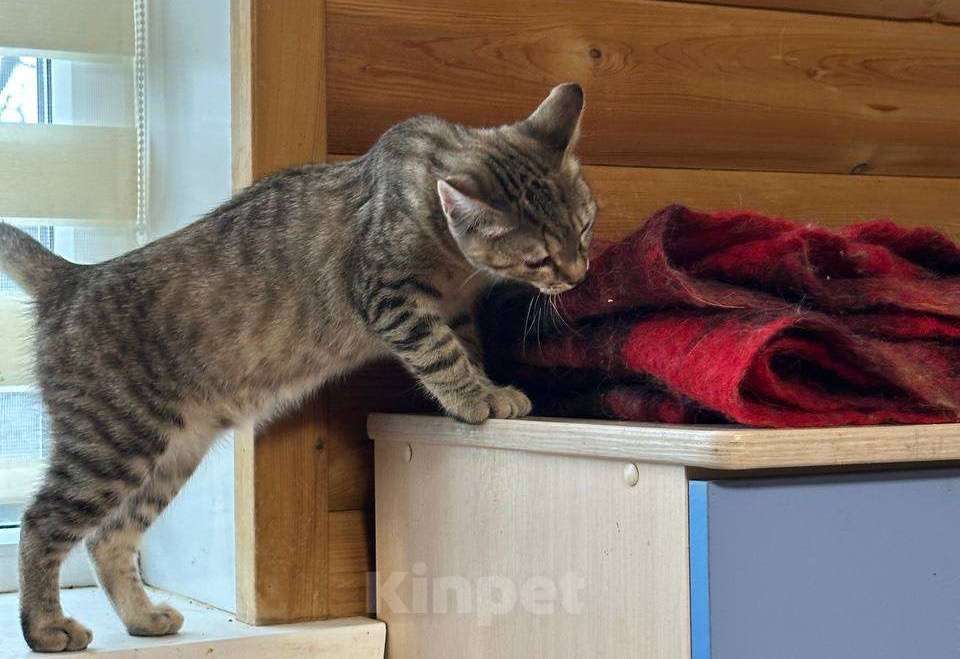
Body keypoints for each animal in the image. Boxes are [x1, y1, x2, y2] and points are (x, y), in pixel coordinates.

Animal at [0, 82, 595, 652]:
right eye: (539, 257)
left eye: (585, 228)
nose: (580, 274)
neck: (450, 258)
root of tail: (73, 277)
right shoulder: (389, 297)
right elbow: (441, 353)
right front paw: (476, 398)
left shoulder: (456, 308)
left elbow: (468, 348)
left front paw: (487, 385)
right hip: (110, 443)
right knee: (40, 524)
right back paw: (46, 626)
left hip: (171, 455)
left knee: (109, 537)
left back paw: (142, 617)